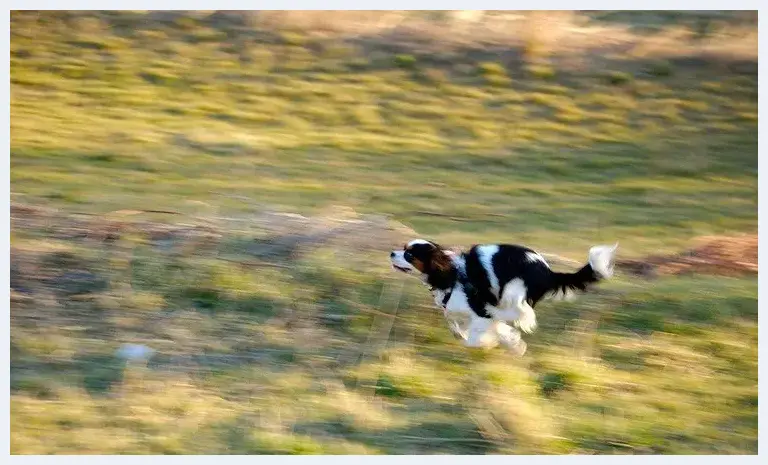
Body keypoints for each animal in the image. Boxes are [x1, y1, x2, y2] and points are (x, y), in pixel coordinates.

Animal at [390, 239, 616, 356]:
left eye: (409, 255)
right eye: (403, 249)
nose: (392, 253)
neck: (450, 273)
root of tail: (548, 271)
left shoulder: (481, 311)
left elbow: (477, 336)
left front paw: (491, 343)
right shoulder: (464, 312)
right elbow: (463, 325)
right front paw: (511, 342)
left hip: (513, 291)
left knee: (522, 314)